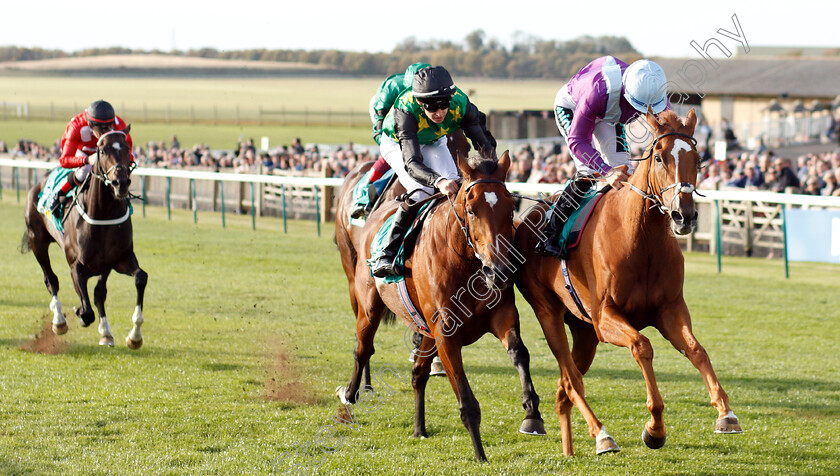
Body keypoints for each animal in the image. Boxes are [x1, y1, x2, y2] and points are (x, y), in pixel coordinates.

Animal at [22, 128, 148, 348]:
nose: (121, 183)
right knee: (51, 280)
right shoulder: (76, 265)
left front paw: (132, 336)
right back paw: (59, 321)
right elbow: (87, 310)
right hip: (37, 241)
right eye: (103, 150)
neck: (103, 214)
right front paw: (79, 312)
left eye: (127, 148)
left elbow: (136, 279)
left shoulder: (117, 260)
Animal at [334, 131, 544, 462]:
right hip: (367, 304)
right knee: (362, 349)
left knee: (417, 373)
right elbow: (466, 399)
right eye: (471, 209)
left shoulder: (501, 316)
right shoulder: (446, 335)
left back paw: (419, 428)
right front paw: (480, 454)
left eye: (510, 207)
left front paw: (532, 415)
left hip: (423, 327)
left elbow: (519, 352)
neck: (465, 262)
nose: (498, 269)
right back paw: (352, 394)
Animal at [512, 109, 740, 456]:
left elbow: (697, 350)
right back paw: (602, 435)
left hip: (584, 332)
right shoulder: (606, 318)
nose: (684, 215)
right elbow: (642, 346)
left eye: (698, 158)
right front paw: (655, 428)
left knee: (564, 388)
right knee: (572, 380)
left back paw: (569, 449)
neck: (642, 239)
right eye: (659, 157)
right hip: (548, 313)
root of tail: (528, 215)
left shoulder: (670, 309)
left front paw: (725, 413)